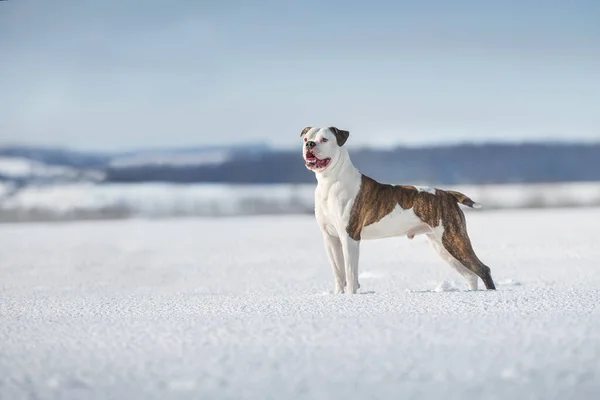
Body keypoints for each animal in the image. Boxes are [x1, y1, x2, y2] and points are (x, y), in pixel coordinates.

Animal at [300, 126, 496, 296]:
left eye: (324, 139)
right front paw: (339, 296)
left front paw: (350, 297)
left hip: (453, 239)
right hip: (441, 244)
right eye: (306, 139)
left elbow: (350, 273)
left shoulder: (349, 236)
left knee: (482, 269)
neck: (329, 182)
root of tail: (447, 193)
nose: (310, 145)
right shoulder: (330, 237)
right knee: (471, 274)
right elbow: (338, 273)